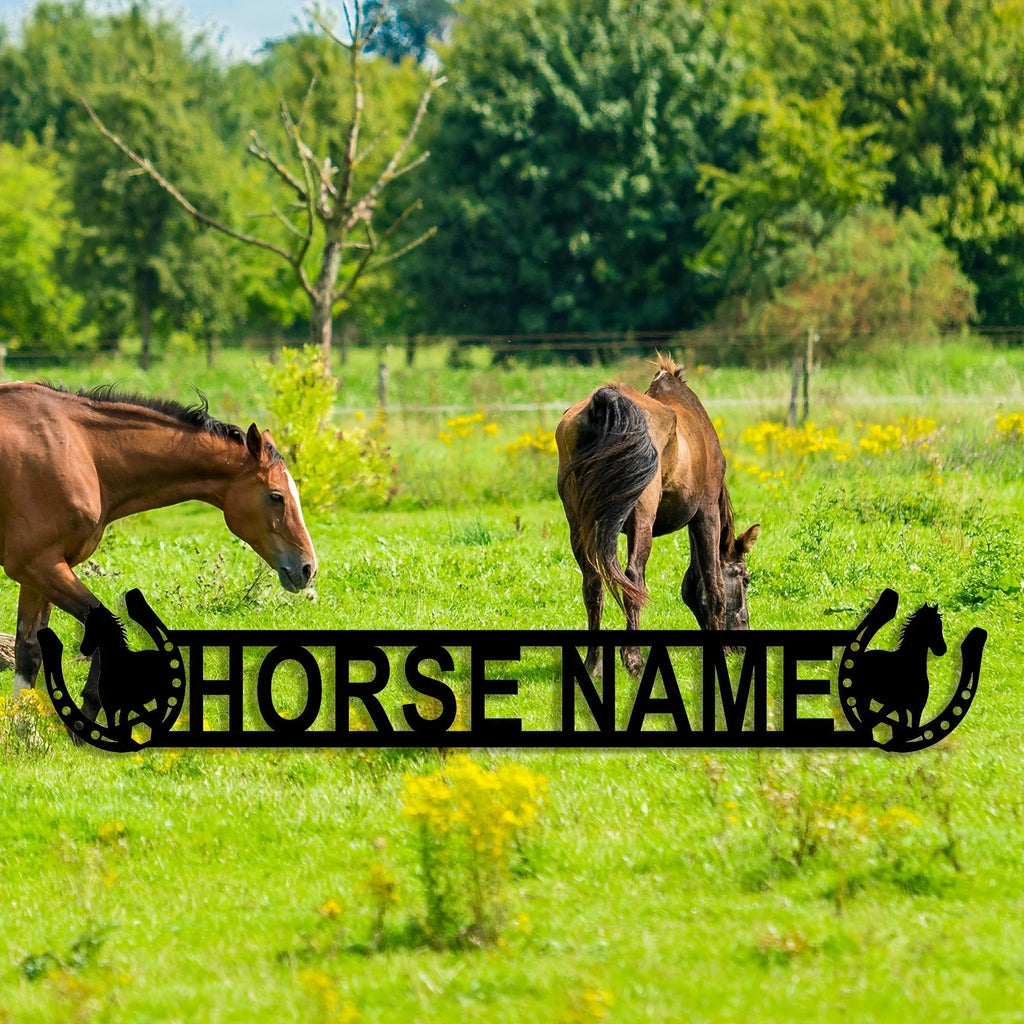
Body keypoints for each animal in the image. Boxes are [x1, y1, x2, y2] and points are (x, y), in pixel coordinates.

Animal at [0, 382, 317, 707]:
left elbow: (29, 651)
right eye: (276, 496)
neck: (79, 451)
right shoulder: (38, 565)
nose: (308, 567)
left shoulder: (39, 572)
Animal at [555, 355, 759, 676]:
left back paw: (593, 664)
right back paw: (634, 660)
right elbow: (712, 584)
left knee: (593, 582)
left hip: (580, 522)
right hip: (642, 516)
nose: (741, 644)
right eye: (746, 579)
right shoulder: (705, 514)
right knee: (633, 578)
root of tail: (605, 402)